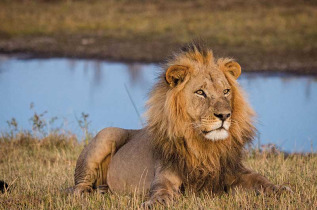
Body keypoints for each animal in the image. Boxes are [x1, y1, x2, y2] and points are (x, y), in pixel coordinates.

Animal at [73, 42, 290, 207]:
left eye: (226, 91)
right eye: (200, 92)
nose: (224, 115)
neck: (204, 146)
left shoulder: (234, 171)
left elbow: (261, 180)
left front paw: (281, 189)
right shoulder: (165, 176)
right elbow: (161, 191)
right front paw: (153, 203)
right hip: (106, 135)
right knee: (76, 187)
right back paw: (90, 194)